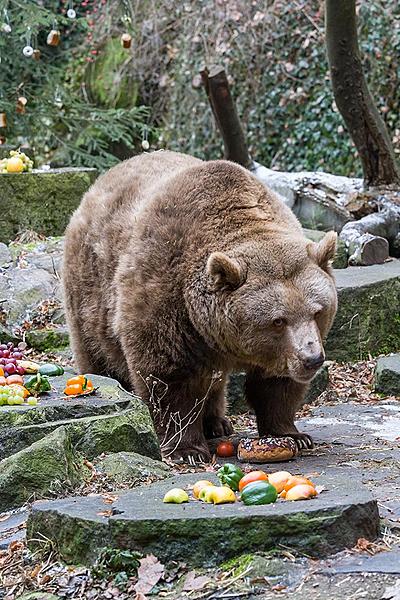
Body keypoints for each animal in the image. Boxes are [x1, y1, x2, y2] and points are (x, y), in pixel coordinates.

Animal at [63, 150, 338, 464]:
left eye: (317, 311)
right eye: (278, 320)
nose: (312, 358)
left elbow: (276, 384)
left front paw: (293, 434)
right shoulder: (167, 298)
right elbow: (170, 378)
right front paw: (187, 450)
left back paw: (217, 422)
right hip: (89, 294)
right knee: (98, 353)